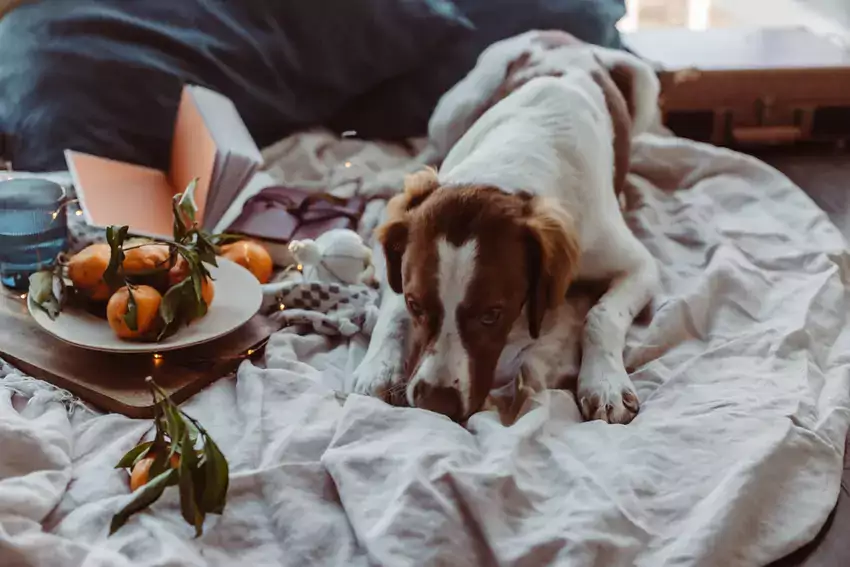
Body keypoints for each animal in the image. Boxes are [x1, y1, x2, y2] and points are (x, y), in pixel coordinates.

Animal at [348, 28, 660, 424]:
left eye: (492, 315)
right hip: (457, 109)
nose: (437, 406)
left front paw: (605, 383)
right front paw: (378, 368)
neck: (510, 164)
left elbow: (601, 316)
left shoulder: (639, 264)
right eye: (416, 304)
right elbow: (392, 313)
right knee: (428, 149)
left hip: (645, 82)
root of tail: (564, 36)